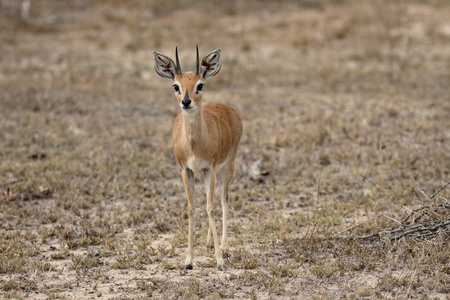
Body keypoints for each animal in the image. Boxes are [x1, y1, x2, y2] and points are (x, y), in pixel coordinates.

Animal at [152, 45, 243, 270]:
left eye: (200, 84)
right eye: (176, 85)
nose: (186, 102)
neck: (194, 143)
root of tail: (229, 109)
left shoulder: (210, 167)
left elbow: (210, 208)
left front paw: (220, 261)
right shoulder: (187, 170)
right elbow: (192, 208)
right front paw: (188, 260)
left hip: (227, 167)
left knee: (223, 199)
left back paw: (224, 246)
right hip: (204, 174)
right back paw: (210, 242)